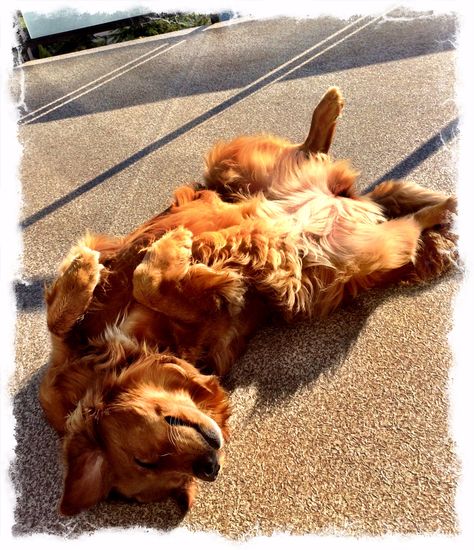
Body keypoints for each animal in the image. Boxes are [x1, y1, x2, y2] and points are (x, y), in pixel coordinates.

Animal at [39, 87, 456, 516]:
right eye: (157, 469)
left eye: (146, 459)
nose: (210, 468)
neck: (132, 351)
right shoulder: (220, 321)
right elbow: (159, 283)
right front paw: (178, 259)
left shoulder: (70, 350)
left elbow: (69, 311)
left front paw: (94, 267)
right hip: (365, 250)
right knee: (404, 222)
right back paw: (437, 205)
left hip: (232, 166)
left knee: (306, 154)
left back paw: (331, 114)